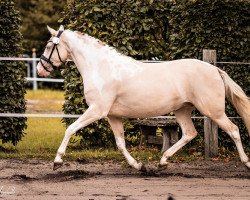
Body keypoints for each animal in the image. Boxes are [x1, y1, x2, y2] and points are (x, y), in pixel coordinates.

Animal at [36, 25, 249, 171]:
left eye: (48, 46)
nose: (40, 69)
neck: (102, 68)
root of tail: (214, 69)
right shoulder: (112, 115)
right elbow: (121, 144)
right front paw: (138, 165)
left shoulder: (97, 110)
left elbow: (71, 128)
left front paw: (57, 161)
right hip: (182, 109)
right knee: (190, 133)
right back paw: (162, 162)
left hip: (213, 111)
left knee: (234, 130)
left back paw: (246, 162)